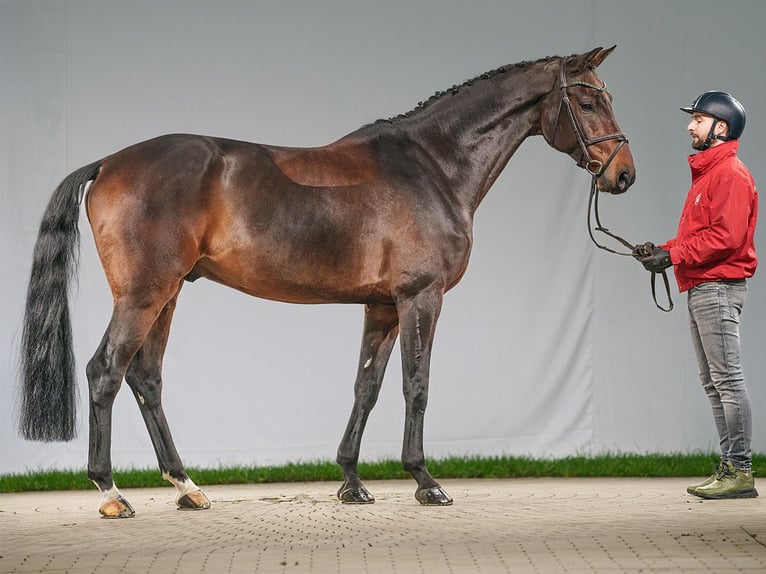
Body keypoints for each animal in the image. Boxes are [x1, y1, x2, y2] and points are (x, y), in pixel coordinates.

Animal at [19, 47, 636, 520]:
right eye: (587, 101)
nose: (624, 174)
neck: (432, 166)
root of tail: (108, 162)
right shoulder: (421, 298)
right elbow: (416, 385)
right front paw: (425, 481)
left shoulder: (382, 306)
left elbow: (367, 385)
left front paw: (352, 483)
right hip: (143, 295)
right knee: (105, 372)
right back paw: (111, 493)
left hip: (167, 296)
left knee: (145, 377)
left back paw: (187, 487)